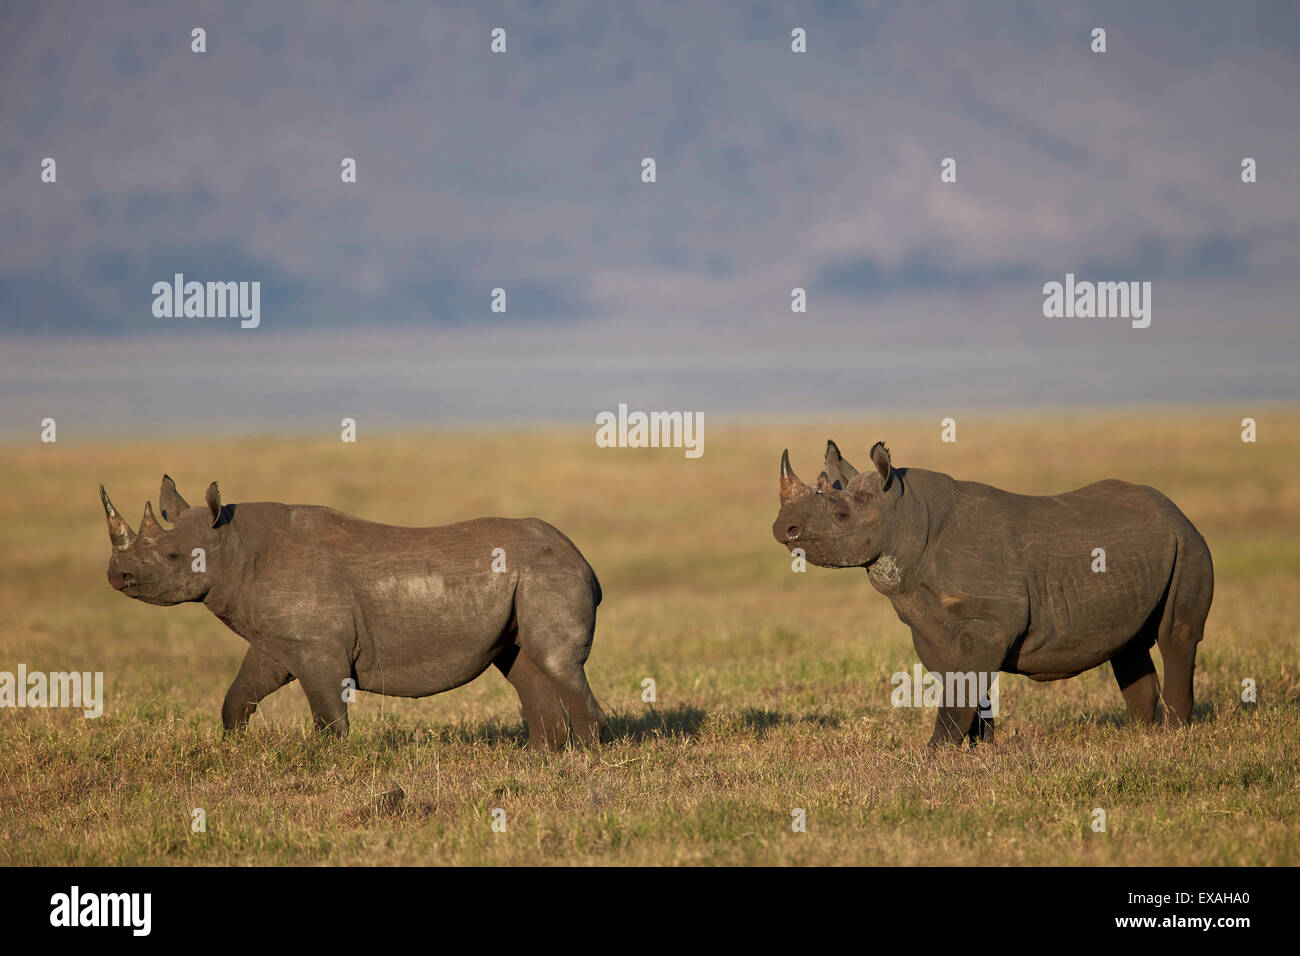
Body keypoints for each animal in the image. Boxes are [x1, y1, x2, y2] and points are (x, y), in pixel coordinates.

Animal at [100, 476, 607, 750]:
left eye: (171, 557)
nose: (116, 575)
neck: (231, 544)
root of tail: (583, 558)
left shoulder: (318, 646)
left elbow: (329, 715)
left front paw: (330, 761)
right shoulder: (278, 640)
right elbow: (238, 696)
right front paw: (233, 747)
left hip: (549, 574)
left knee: (556, 662)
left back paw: (583, 759)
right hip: (529, 578)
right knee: (524, 664)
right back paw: (541, 759)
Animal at [772, 440, 1213, 747]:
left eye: (841, 515)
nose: (782, 528)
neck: (906, 515)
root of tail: (1174, 509)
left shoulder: (987, 622)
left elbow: (963, 686)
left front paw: (934, 753)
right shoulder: (928, 622)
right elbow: (960, 684)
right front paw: (977, 749)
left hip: (1189, 542)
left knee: (1177, 636)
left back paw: (1174, 736)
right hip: (1153, 549)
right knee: (1128, 645)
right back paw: (1140, 735)